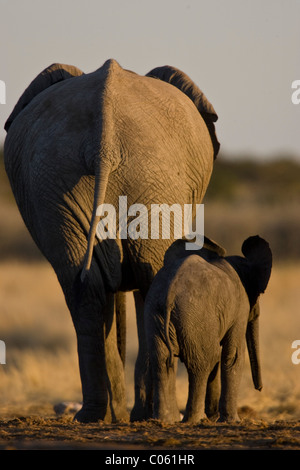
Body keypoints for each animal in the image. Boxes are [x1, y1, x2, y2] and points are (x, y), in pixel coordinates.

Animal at [2, 58, 220, 422]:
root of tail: (103, 142)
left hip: (55, 182)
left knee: (84, 287)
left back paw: (95, 415)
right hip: (150, 178)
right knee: (148, 280)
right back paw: (148, 415)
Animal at [144, 235, 274, 422]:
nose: (260, 388)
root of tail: (170, 295)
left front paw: (216, 417)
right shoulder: (240, 306)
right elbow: (233, 355)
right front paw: (232, 421)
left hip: (154, 315)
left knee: (161, 362)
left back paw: (166, 420)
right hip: (195, 317)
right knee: (202, 363)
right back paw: (195, 420)